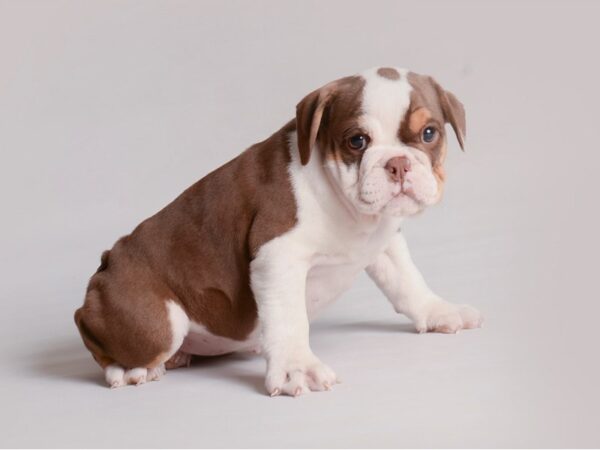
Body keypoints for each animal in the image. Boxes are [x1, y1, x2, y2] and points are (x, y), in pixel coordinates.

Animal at [74, 65, 482, 396]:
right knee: (95, 331)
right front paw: (297, 369)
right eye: (356, 141)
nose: (397, 164)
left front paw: (438, 311)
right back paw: (128, 370)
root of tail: (106, 263)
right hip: (155, 322)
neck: (349, 208)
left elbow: (407, 281)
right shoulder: (278, 256)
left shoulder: (384, 242)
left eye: (429, 133)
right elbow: (289, 319)